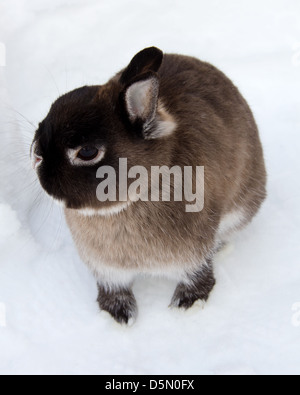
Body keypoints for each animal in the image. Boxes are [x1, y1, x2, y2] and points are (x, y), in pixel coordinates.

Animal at [31, 47, 268, 324]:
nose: (35, 154)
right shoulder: (106, 268)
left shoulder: (194, 254)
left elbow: (198, 275)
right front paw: (117, 315)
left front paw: (187, 304)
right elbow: (114, 287)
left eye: (87, 152)